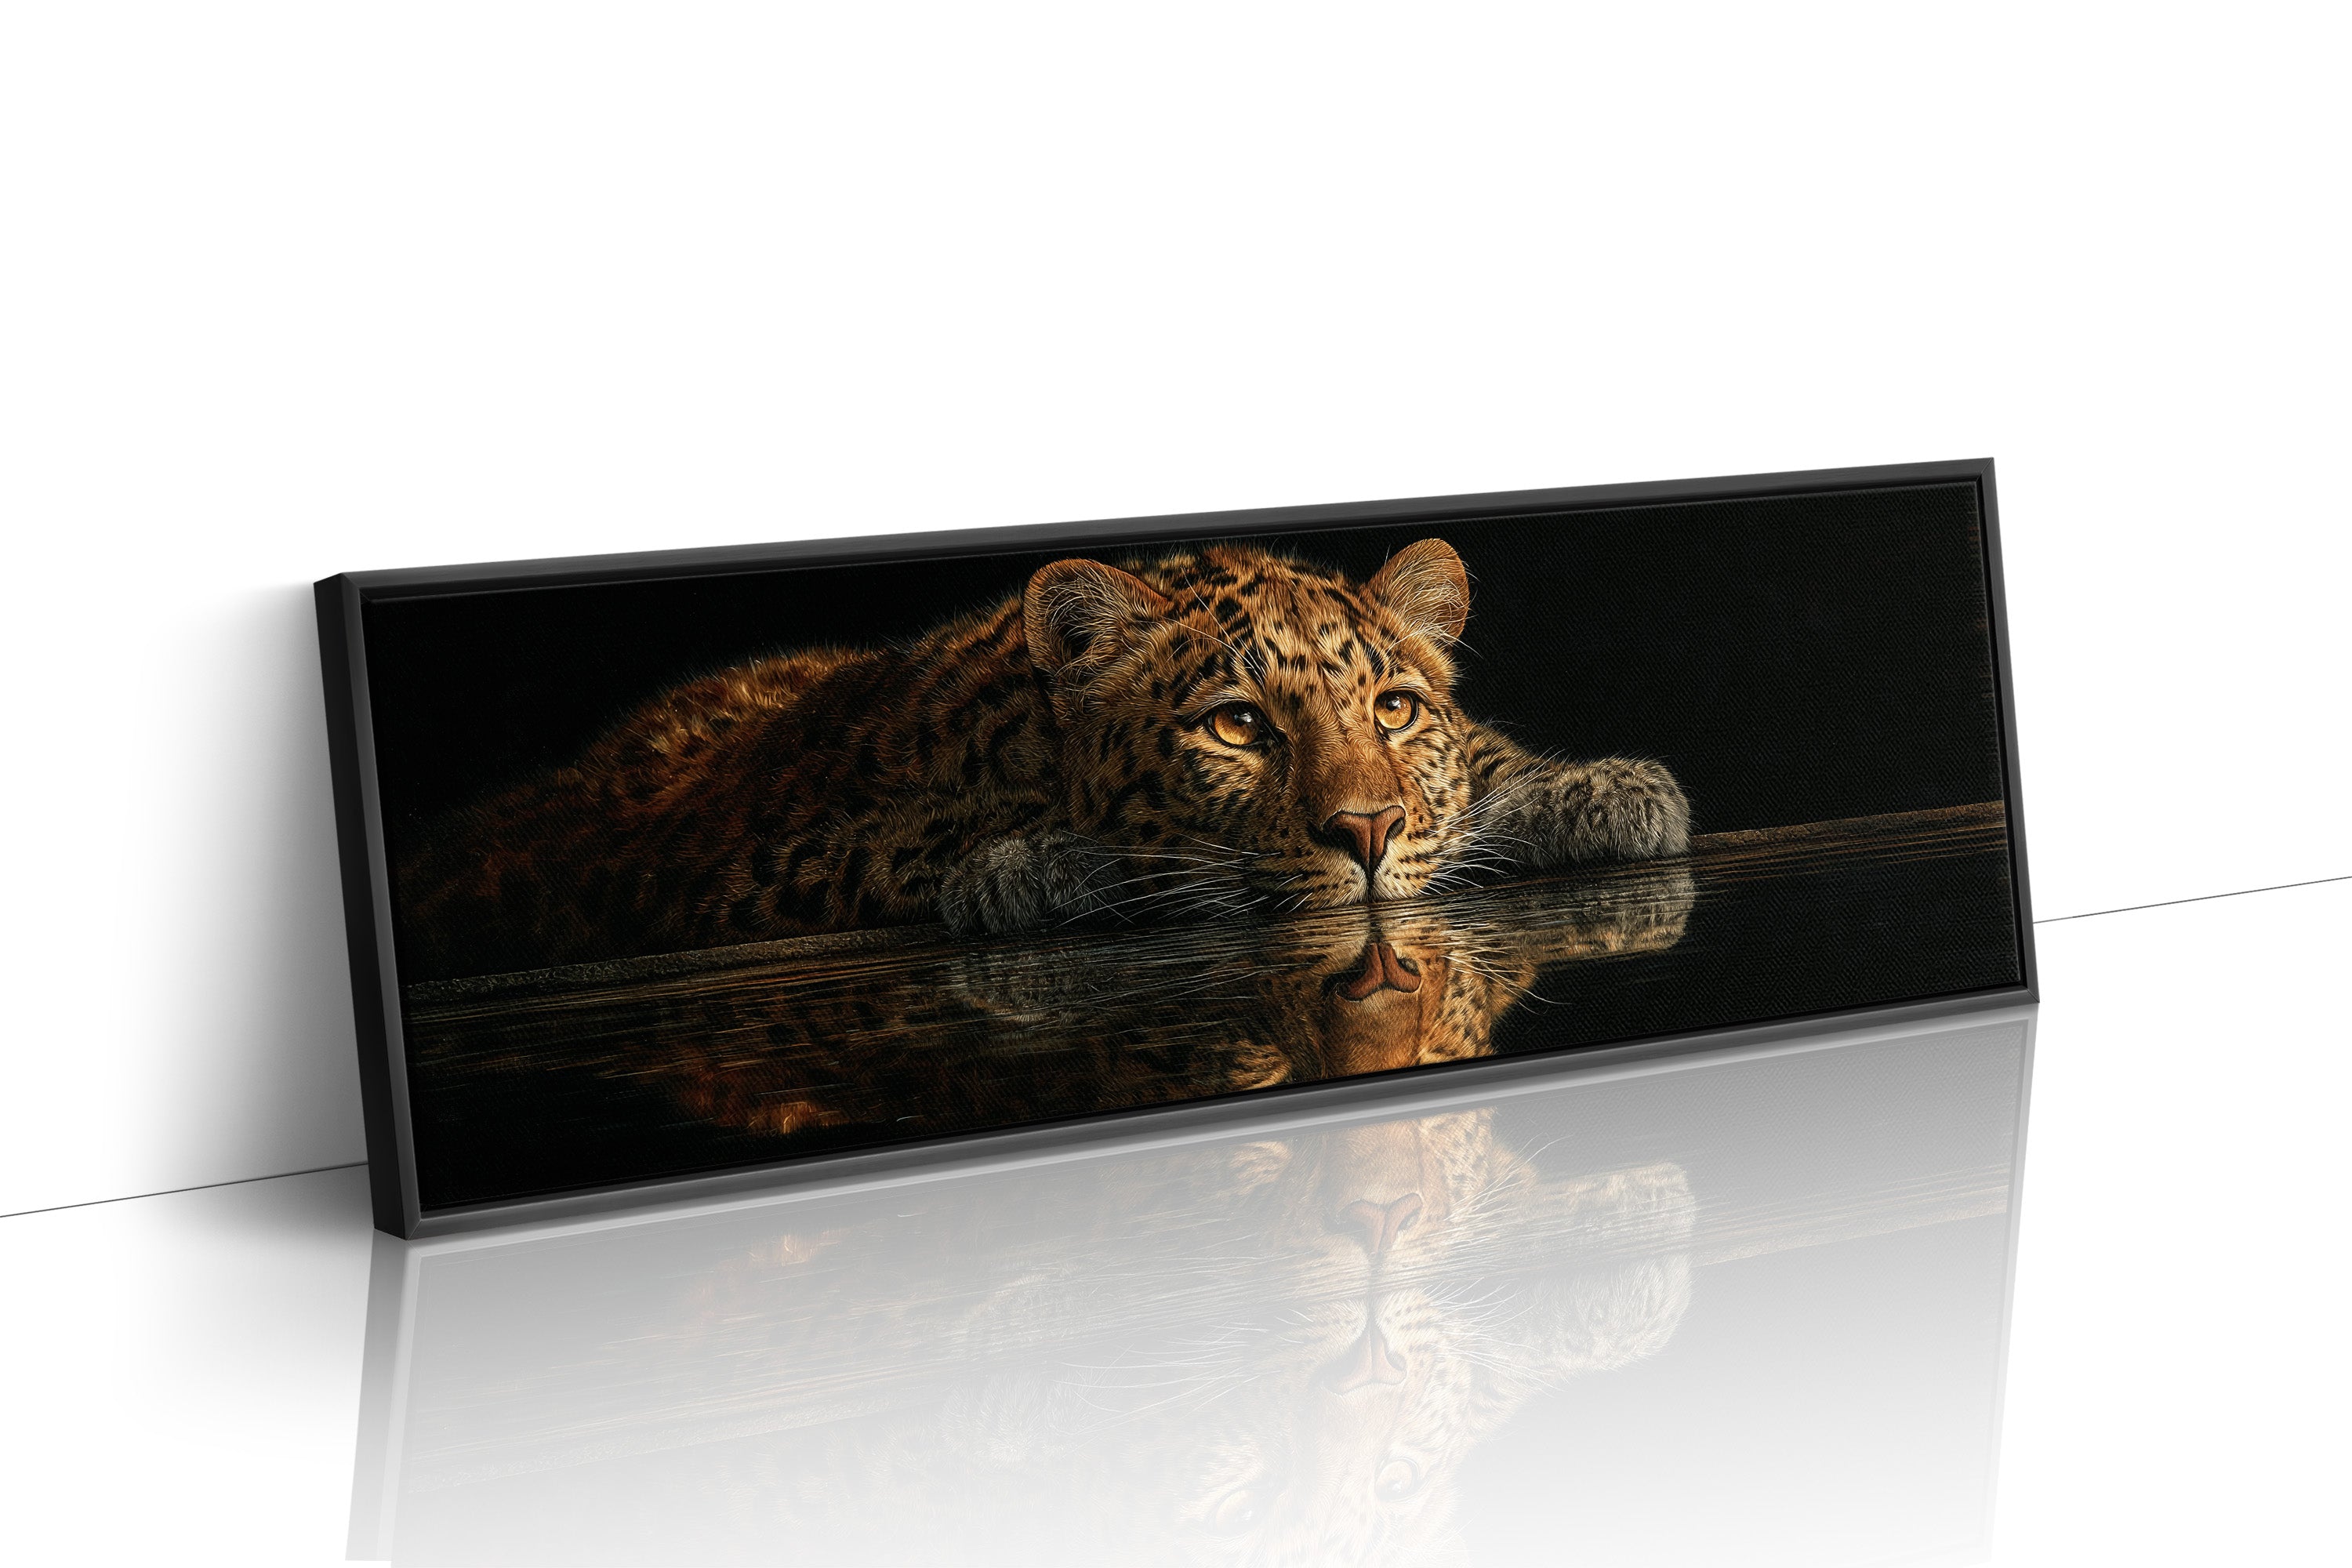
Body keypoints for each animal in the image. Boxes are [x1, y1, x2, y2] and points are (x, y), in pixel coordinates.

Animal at [392, 537, 1690, 981]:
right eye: (1237, 727)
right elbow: (921, 836)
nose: (1363, 832)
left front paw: (1602, 791)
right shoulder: (758, 866)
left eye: (1396, 709)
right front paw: (1044, 866)